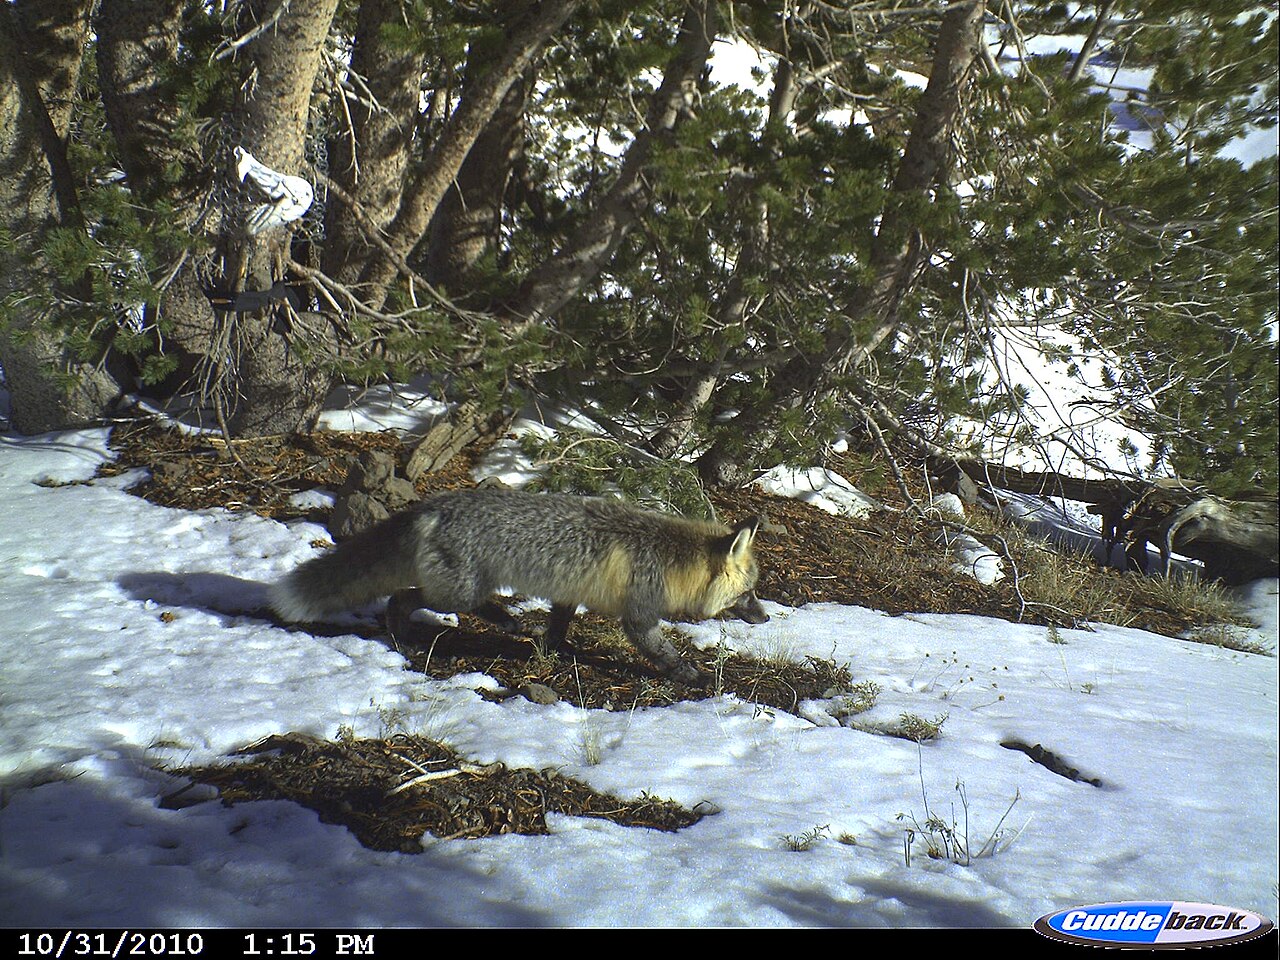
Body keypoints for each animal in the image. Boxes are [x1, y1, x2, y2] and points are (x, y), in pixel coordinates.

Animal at [270, 487, 768, 686]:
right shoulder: (639, 617)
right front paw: (692, 675)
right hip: (457, 592)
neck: (669, 559)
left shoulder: (570, 593)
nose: (766, 617)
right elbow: (662, 652)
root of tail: (433, 504)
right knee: (404, 597)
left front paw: (554, 650)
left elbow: (559, 625)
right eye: (748, 594)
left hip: (461, 587)